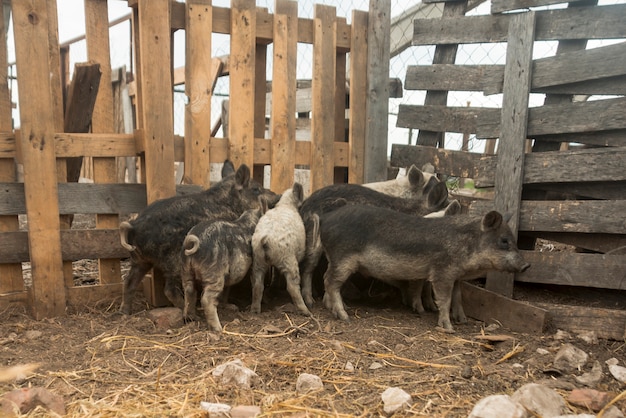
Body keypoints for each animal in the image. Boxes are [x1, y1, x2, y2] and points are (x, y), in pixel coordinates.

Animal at [117, 162, 278, 316]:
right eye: (256, 189)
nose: (277, 196)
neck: (231, 202)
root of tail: (134, 226)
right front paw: (233, 307)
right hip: (173, 261)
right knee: (169, 289)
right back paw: (187, 310)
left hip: (139, 260)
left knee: (129, 282)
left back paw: (125, 312)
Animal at [247, 181, 308, 316]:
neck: (286, 205)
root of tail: (265, 239)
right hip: (289, 260)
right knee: (292, 286)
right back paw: (306, 311)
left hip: (257, 260)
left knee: (257, 285)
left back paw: (255, 311)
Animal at [316, 206, 528, 334]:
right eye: (504, 241)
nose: (527, 265)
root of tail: (325, 218)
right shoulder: (442, 273)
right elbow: (444, 299)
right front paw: (449, 328)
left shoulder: (456, 277)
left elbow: (458, 297)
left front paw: (463, 321)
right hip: (343, 259)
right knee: (329, 281)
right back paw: (345, 317)